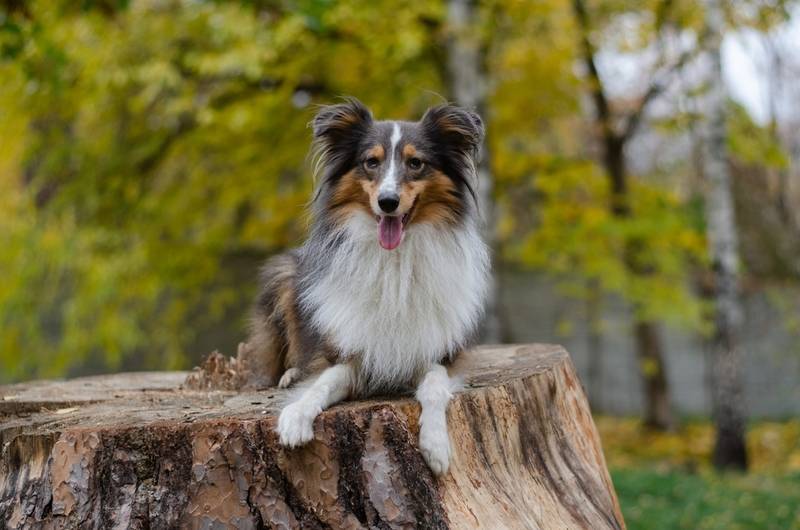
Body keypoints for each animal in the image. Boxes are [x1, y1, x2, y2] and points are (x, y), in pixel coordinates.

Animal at [238, 97, 488, 472]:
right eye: (371, 162)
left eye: (416, 163)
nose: (387, 202)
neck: (394, 261)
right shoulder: (352, 355)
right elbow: (322, 382)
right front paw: (296, 415)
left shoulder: (434, 352)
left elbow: (434, 386)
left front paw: (436, 444)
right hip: (285, 275)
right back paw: (290, 373)